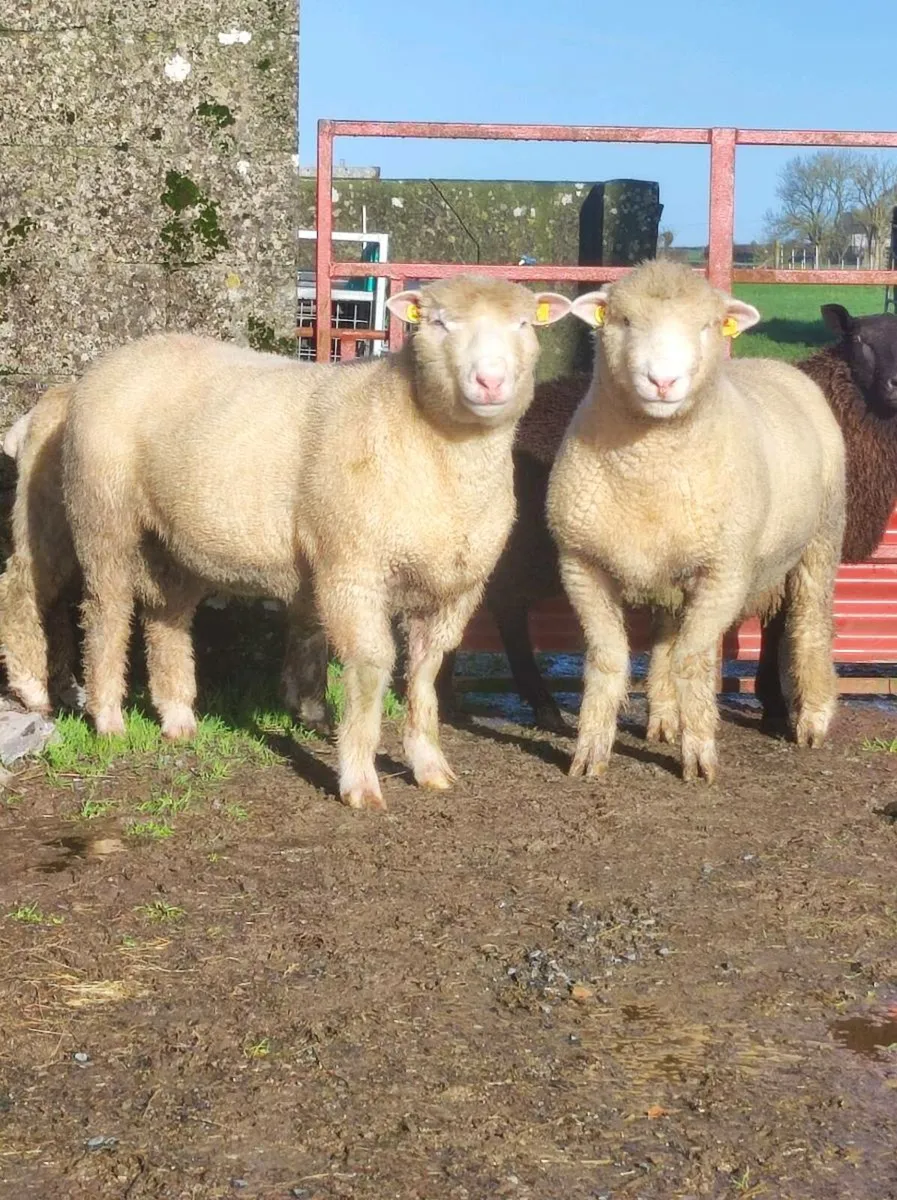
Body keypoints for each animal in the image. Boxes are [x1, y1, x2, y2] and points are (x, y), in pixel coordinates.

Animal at [62, 277, 571, 810]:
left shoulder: (455, 590)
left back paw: (178, 718)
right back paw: (109, 719)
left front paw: (428, 763)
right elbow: (371, 666)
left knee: (168, 619)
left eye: (523, 323)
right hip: (103, 514)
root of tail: (119, 356)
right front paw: (359, 779)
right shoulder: (352, 569)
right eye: (439, 323)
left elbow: (425, 673)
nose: (490, 382)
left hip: (174, 541)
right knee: (107, 613)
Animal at [546, 259, 846, 783]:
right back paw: (665, 720)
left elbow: (692, 662)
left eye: (706, 325)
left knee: (811, 622)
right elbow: (609, 659)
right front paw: (590, 750)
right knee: (666, 636)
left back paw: (812, 719)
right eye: (624, 321)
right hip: (675, 568)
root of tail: (776, 366)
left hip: (822, 539)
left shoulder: (724, 573)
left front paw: (700, 755)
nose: (662, 381)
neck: (649, 466)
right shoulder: (581, 564)